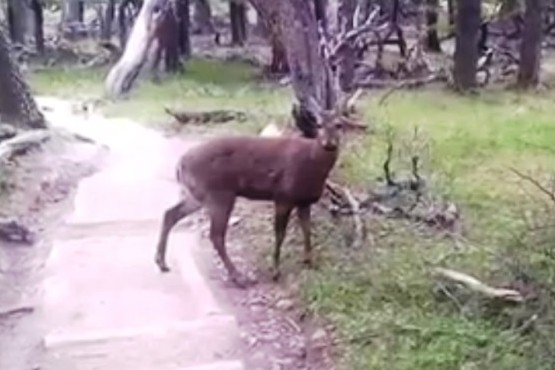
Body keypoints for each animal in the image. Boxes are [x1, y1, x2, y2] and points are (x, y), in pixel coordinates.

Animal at [153, 94, 360, 288]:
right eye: (318, 124)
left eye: (339, 125)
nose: (329, 143)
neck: (311, 164)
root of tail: (180, 162)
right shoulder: (282, 196)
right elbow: (279, 234)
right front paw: (275, 272)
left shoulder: (304, 201)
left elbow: (307, 231)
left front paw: (310, 262)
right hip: (219, 193)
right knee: (216, 235)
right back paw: (238, 277)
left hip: (198, 194)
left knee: (170, 214)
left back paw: (161, 262)